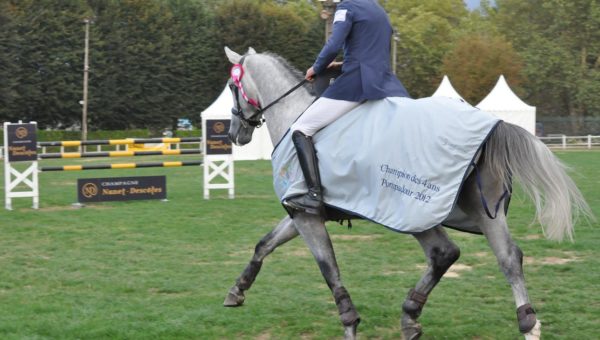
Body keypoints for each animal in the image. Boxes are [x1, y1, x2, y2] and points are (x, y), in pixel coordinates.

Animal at [220, 46, 592, 338]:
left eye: (231, 86)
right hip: (481, 212)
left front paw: (349, 323)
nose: (235, 133)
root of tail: (491, 124)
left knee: (444, 252)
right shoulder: (300, 214)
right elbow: (264, 244)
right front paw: (236, 291)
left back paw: (411, 315)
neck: (294, 116)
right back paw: (525, 324)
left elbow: (329, 270)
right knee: (507, 258)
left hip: (416, 210)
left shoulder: (306, 214)